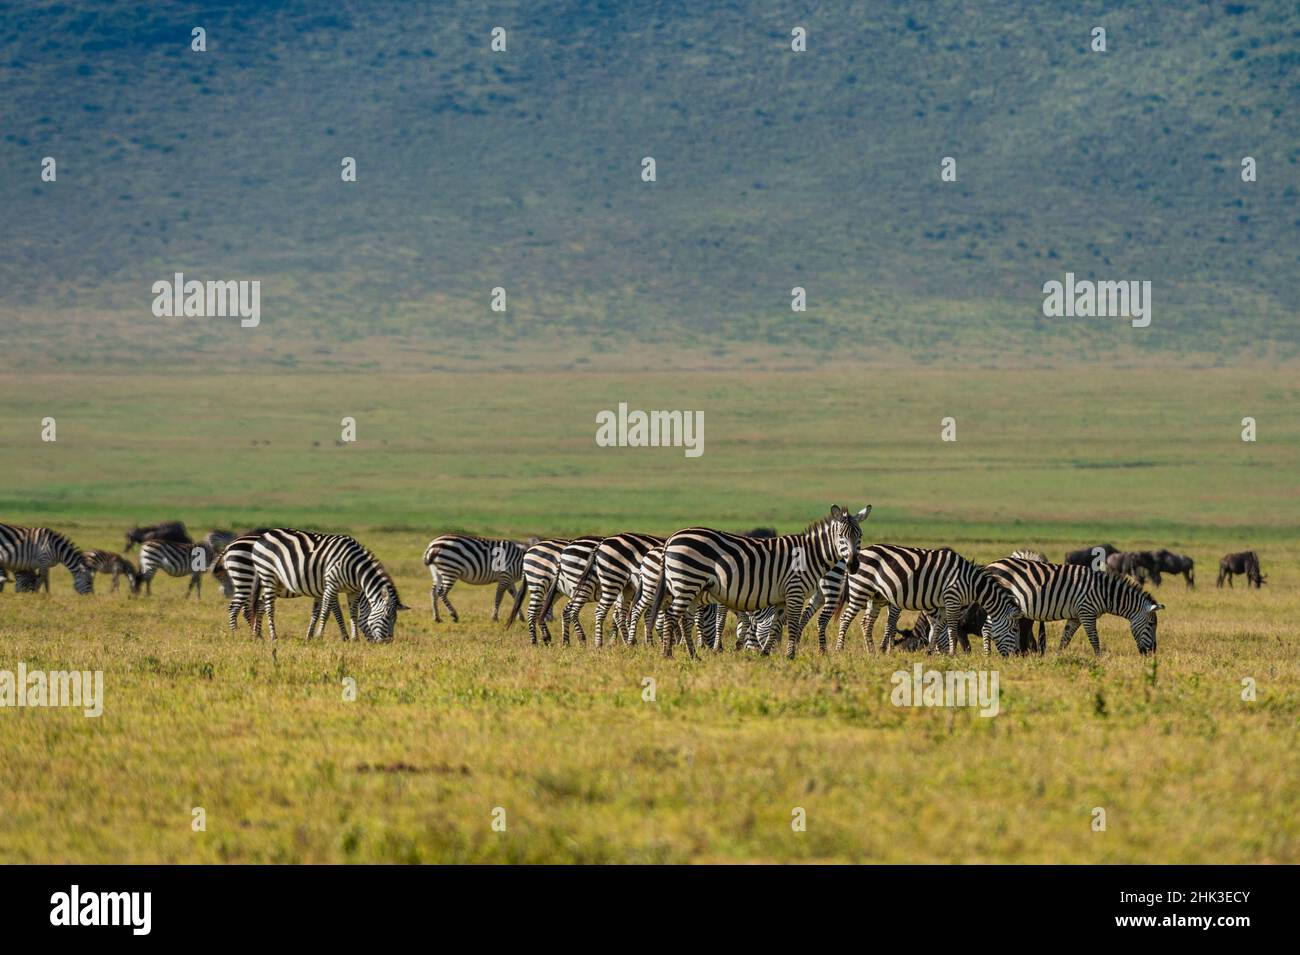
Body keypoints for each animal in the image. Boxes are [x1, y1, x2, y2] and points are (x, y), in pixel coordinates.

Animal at [251, 529, 406, 643]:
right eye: (386, 616)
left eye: (395, 619)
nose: (388, 642)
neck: (356, 570)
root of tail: (264, 536)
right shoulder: (331, 585)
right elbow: (327, 612)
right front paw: (319, 636)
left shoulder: (353, 591)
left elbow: (352, 613)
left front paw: (354, 638)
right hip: (268, 575)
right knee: (269, 607)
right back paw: (273, 636)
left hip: (277, 583)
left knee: (261, 602)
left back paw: (257, 635)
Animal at [647, 505, 871, 659]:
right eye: (841, 536)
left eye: (860, 535)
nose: (853, 565)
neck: (809, 554)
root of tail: (671, 538)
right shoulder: (795, 590)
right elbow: (793, 624)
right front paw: (790, 656)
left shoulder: (782, 597)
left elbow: (775, 626)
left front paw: (765, 653)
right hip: (687, 582)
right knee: (671, 616)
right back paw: (667, 654)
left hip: (691, 586)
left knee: (684, 619)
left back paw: (694, 656)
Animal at [832, 545, 1022, 656]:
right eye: (1014, 629)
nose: (1012, 656)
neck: (970, 582)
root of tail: (856, 555)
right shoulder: (952, 599)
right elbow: (952, 629)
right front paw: (952, 654)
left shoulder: (943, 604)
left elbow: (937, 628)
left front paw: (932, 651)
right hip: (860, 589)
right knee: (845, 618)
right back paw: (839, 649)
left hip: (876, 596)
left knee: (866, 622)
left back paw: (871, 651)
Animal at [986, 556, 1162, 655]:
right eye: (1151, 625)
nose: (1152, 652)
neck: (1104, 592)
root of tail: (991, 565)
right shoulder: (1087, 612)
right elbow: (1094, 638)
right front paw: (1099, 659)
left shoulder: (1076, 616)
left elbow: (1065, 638)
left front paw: (1057, 657)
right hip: (997, 602)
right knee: (987, 628)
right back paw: (987, 656)